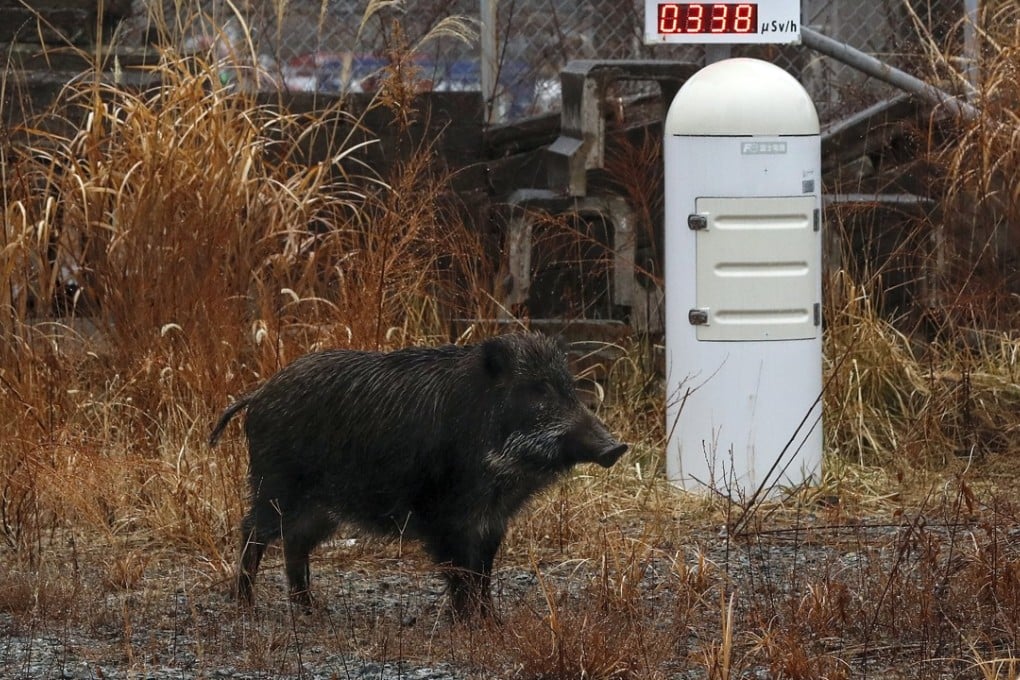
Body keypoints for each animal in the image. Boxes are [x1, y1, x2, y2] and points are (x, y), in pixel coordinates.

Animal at [209, 333, 628, 616]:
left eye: (569, 387)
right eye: (537, 389)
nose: (616, 447)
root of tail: (259, 394)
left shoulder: (493, 520)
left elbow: (483, 572)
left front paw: (492, 621)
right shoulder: (442, 515)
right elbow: (460, 572)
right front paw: (469, 622)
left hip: (322, 508)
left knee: (295, 543)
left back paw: (312, 608)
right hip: (275, 486)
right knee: (252, 532)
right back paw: (246, 604)